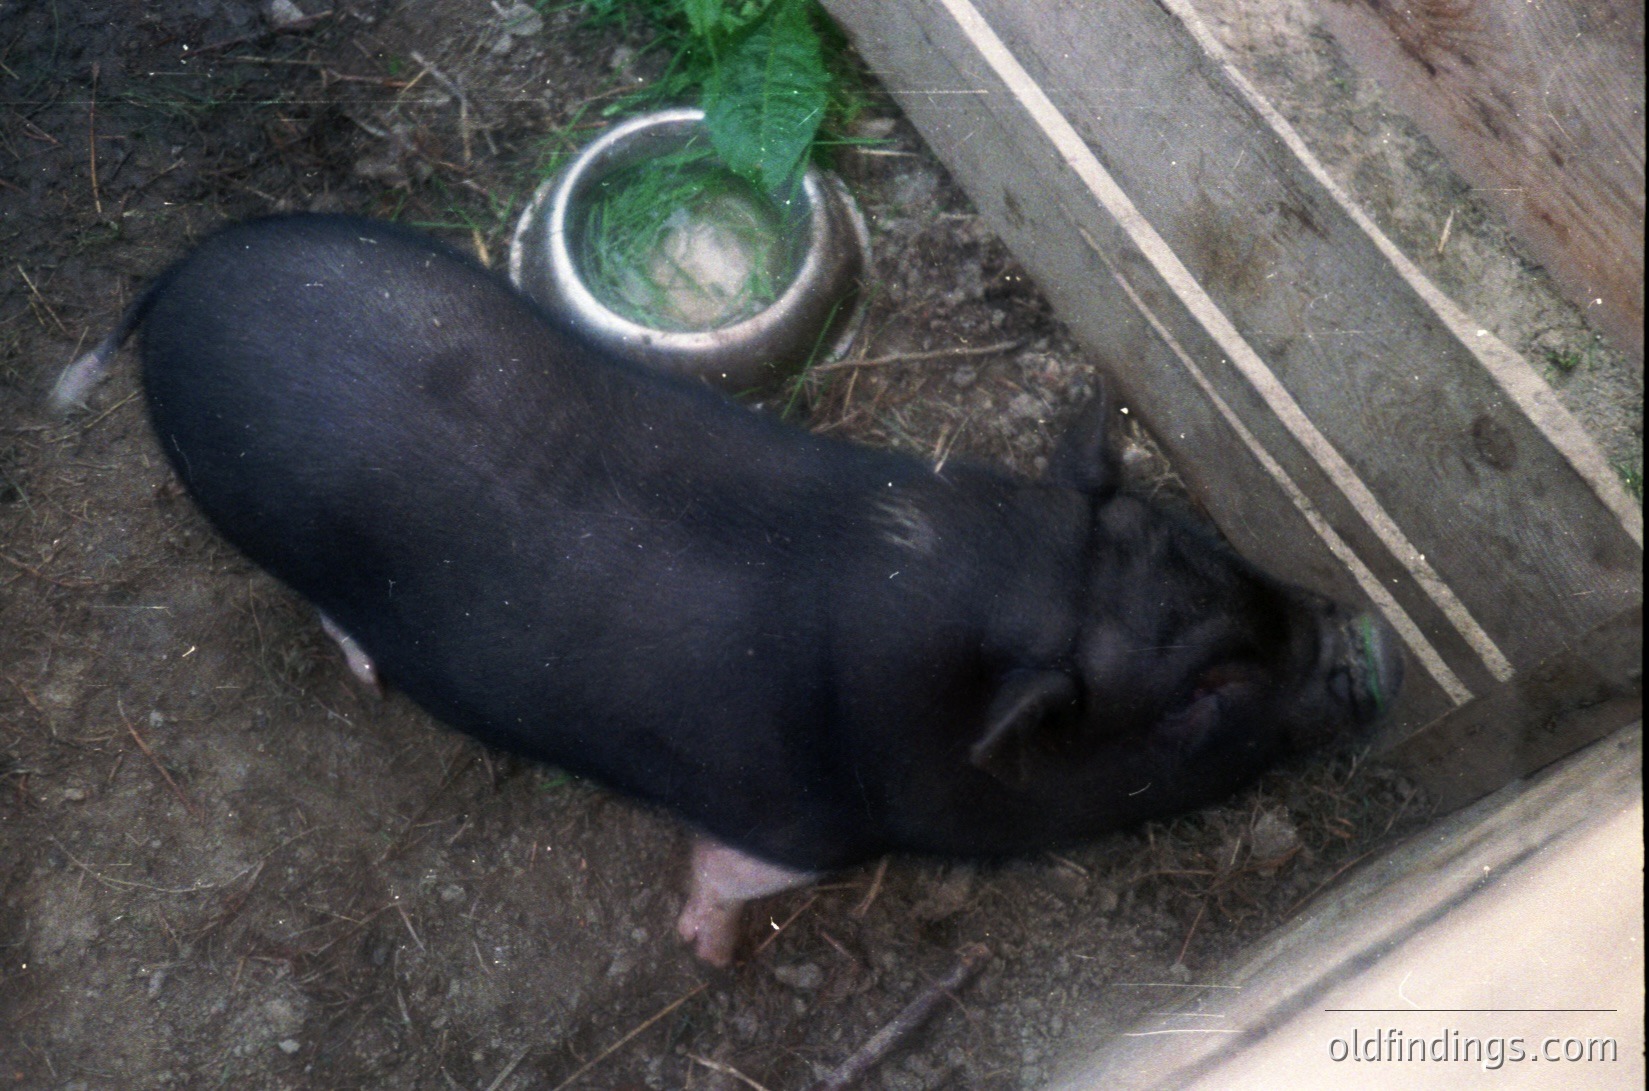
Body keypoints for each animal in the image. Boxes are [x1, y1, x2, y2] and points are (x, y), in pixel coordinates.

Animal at [54, 214, 1402, 965]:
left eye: (1203, 534)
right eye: (1200, 692)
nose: (1367, 648)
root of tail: (177, 279)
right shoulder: (800, 816)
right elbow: (732, 869)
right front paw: (704, 956)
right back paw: (366, 667)